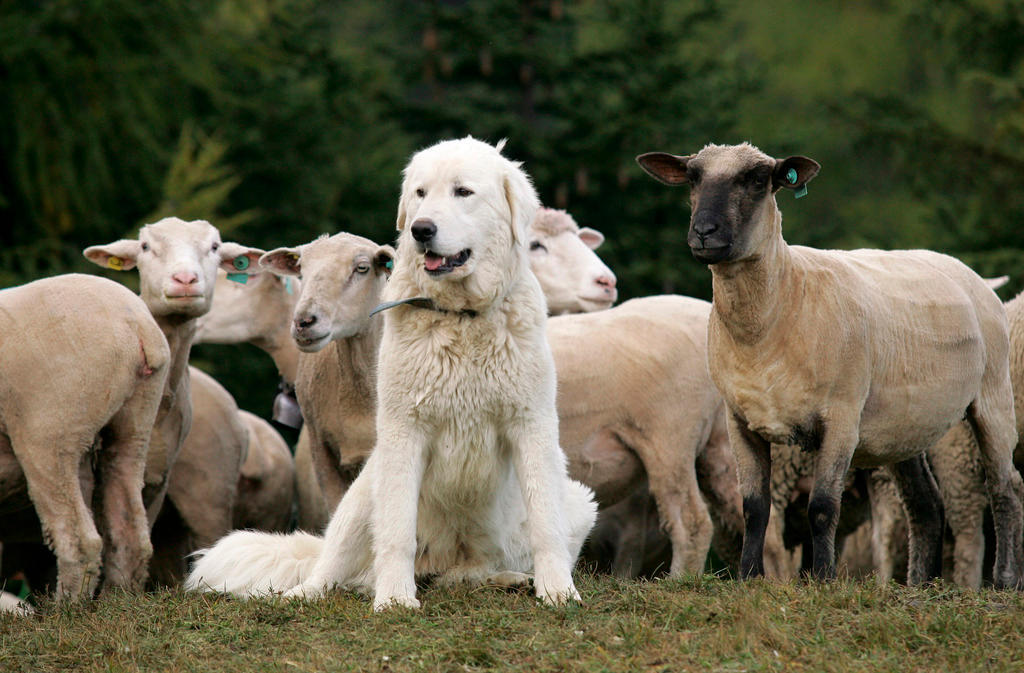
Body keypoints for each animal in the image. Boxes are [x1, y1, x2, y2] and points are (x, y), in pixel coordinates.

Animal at [0, 272, 169, 598]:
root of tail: (138, 325)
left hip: (48, 429)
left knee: (78, 541)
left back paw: (65, 608)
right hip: (136, 420)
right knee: (130, 532)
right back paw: (117, 600)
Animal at [188, 138, 598, 610]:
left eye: (463, 192)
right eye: (420, 193)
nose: (421, 229)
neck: (462, 317)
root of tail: (440, 563)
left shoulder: (532, 425)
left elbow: (545, 524)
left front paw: (558, 592)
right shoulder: (403, 431)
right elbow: (398, 530)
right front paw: (396, 601)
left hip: (578, 500)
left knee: (468, 573)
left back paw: (506, 579)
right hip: (362, 490)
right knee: (332, 567)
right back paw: (305, 593)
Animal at [638, 143, 1024, 590]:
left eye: (757, 180)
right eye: (693, 177)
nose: (704, 232)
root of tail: (966, 271)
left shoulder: (840, 418)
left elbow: (822, 507)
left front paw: (822, 579)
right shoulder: (740, 420)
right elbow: (754, 507)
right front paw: (749, 578)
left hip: (993, 397)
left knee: (1006, 486)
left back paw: (1005, 579)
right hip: (907, 423)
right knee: (926, 504)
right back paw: (920, 585)